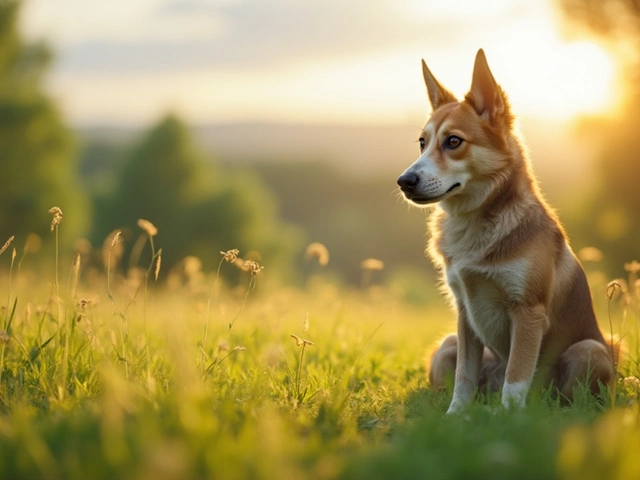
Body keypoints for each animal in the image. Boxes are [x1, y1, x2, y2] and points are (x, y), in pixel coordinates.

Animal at [398, 50, 612, 414]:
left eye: (453, 141)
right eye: (422, 143)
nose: (404, 181)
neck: (476, 222)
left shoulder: (527, 311)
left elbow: (517, 376)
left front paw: (510, 419)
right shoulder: (464, 314)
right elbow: (464, 377)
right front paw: (456, 417)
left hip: (589, 351)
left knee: (568, 397)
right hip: (445, 347)